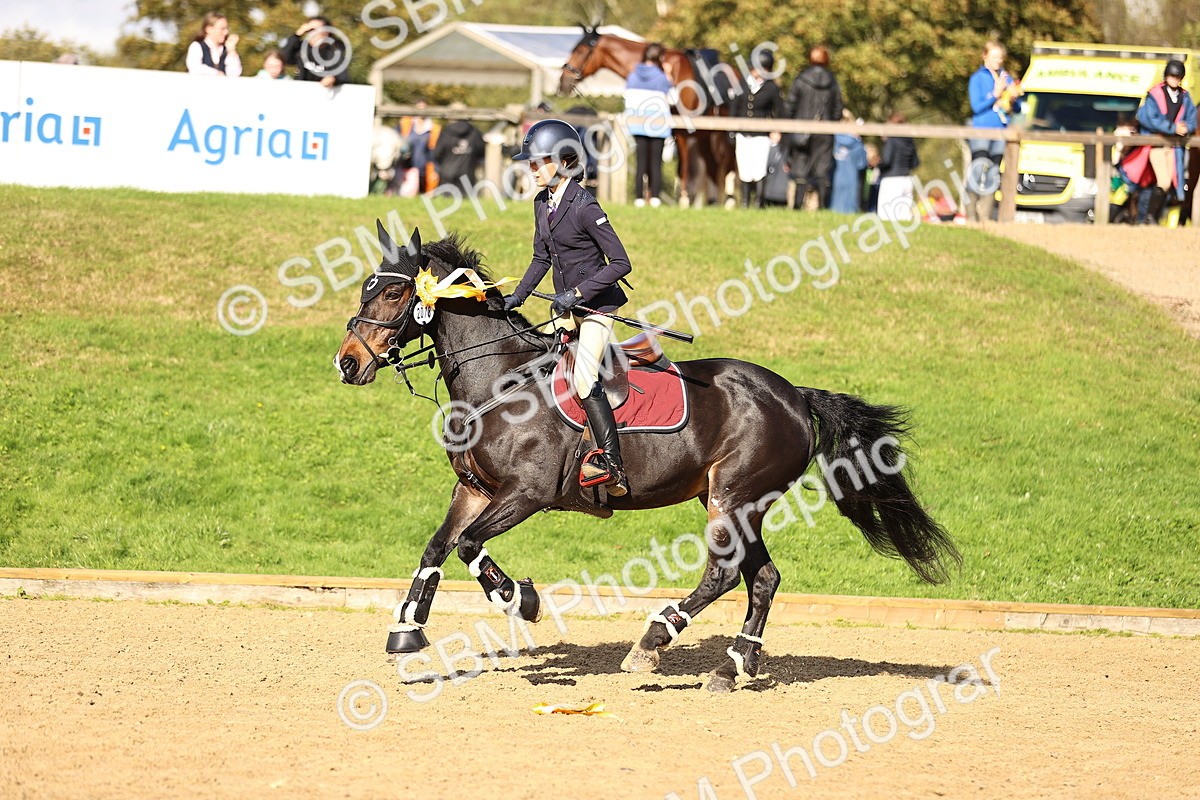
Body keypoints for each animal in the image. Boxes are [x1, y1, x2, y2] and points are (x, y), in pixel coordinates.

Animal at [335, 224, 961, 692]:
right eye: (366, 290)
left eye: (392, 294)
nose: (347, 363)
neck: (500, 382)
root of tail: (795, 396)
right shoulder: (474, 490)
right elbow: (437, 549)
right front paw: (407, 633)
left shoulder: (525, 495)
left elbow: (468, 546)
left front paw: (523, 600)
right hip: (736, 502)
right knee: (762, 577)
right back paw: (733, 666)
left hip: (734, 496)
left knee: (724, 572)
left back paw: (653, 641)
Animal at [558, 27, 738, 208]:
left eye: (580, 50)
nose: (562, 82)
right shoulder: (675, 132)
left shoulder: (685, 133)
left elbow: (684, 168)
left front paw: (683, 200)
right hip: (706, 136)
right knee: (714, 165)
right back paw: (713, 202)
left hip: (720, 135)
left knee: (725, 163)